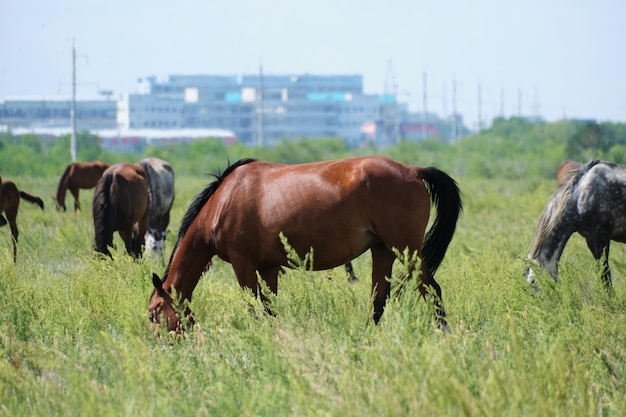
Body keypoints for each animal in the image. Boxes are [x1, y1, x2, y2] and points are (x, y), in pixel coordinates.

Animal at [146, 157, 458, 334]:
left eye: (154, 314)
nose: (161, 347)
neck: (223, 201)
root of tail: (413, 171)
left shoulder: (242, 264)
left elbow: (253, 305)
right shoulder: (268, 267)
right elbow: (269, 307)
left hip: (407, 251)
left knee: (431, 290)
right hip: (382, 251)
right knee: (378, 300)